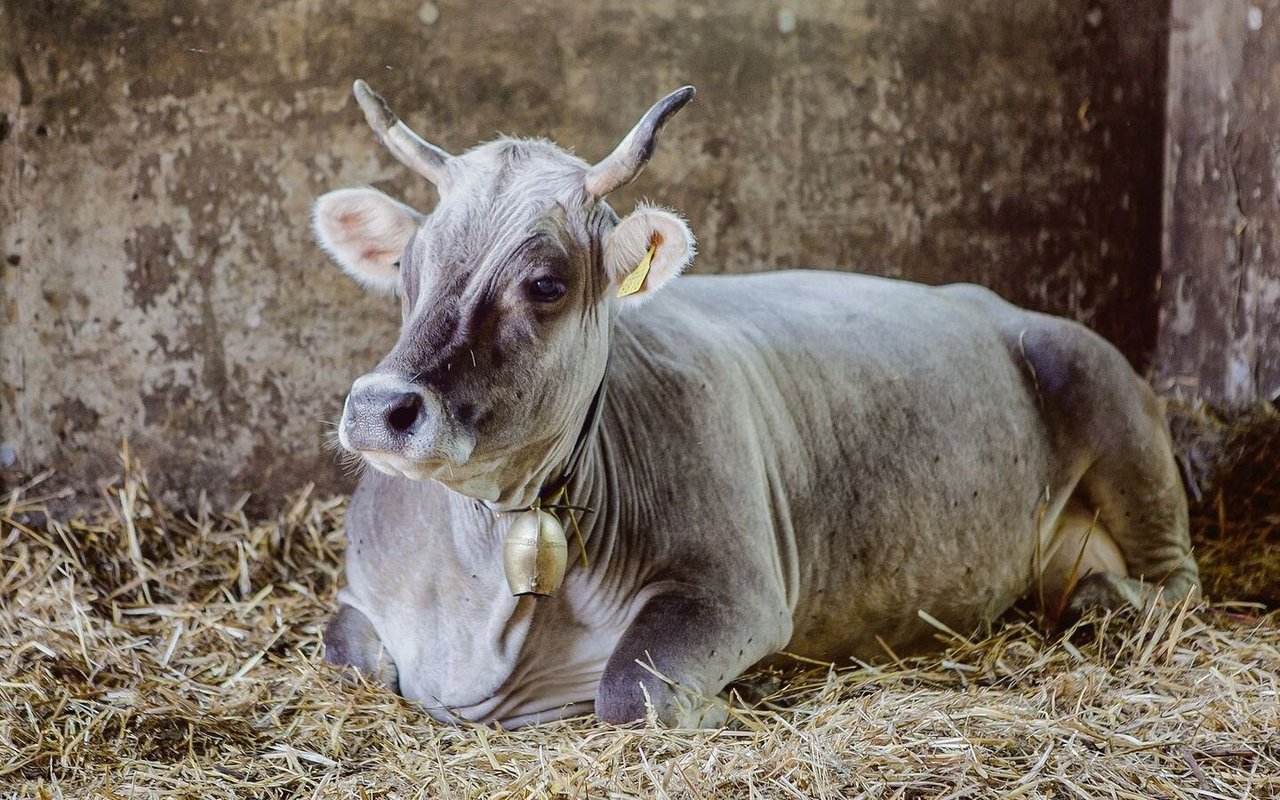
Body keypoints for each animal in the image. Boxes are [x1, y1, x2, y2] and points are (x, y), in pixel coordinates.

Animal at [312, 79, 1198, 721]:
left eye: (545, 284)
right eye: (406, 266)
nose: (380, 408)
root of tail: (993, 303)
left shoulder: (736, 592)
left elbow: (630, 691)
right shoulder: (356, 598)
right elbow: (346, 653)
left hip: (1111, 401)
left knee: (1175, 583)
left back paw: (1104, 597)